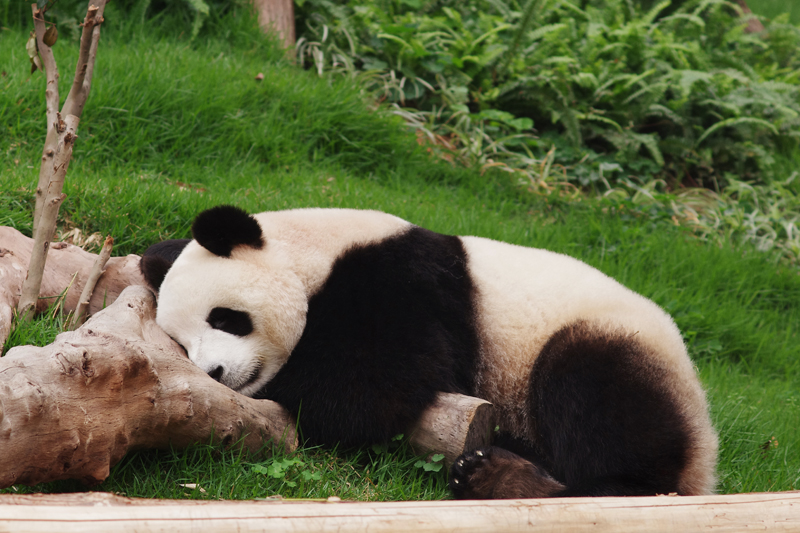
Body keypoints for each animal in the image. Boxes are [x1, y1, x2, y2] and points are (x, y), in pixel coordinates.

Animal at [139, 205, 720, 498]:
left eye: (224, 318)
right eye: (182, 344)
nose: (215, 372)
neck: (308, 250)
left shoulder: (400, 284)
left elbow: (366, 390)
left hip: (611, 344)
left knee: (601, 401)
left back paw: (514, 481)